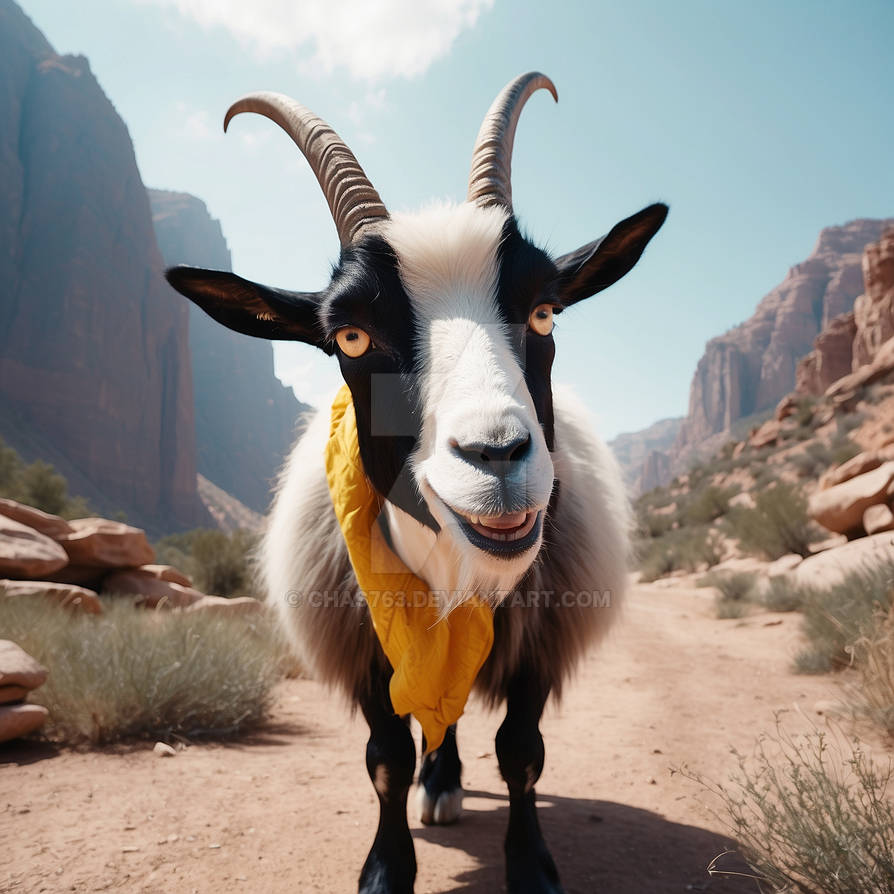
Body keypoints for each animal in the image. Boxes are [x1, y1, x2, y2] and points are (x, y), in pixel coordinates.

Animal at [167, 71, 667, 894]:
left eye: (544, 310)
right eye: (350, 335)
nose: (496, 456)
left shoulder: (537, 638)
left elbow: (522, 754)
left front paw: (532, 868)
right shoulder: (370, 645)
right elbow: (387, 761)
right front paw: (385, 869)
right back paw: (441, 784)